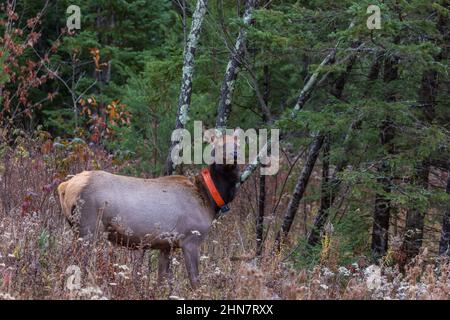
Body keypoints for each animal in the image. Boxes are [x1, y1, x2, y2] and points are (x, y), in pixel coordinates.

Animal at [58, 130, 241, 288]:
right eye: (218, 145)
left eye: (238, 145)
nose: (233, 155)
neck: (209, 200)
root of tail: (65, 186)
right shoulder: (191, 239)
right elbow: (195, 281)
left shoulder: (166, 245)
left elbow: (161, 280)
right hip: (88, 227)